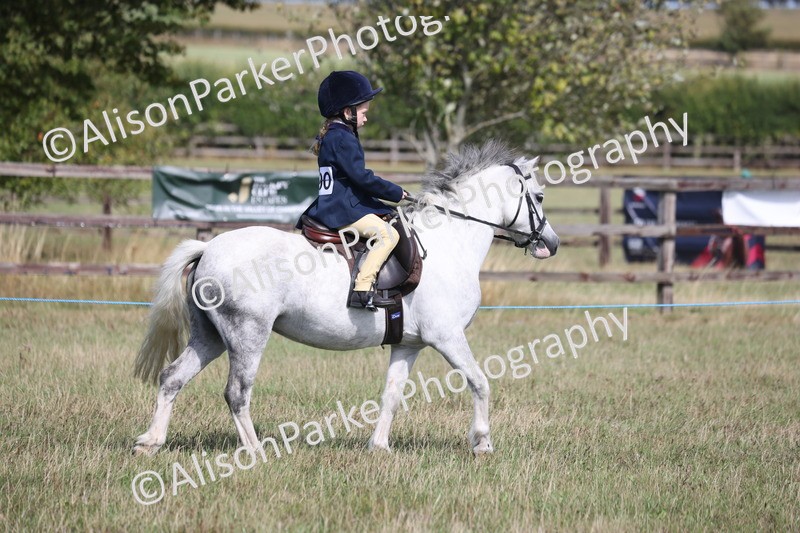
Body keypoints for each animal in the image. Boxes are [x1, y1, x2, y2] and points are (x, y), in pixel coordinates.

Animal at [132, 140, 560, 456]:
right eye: (539, 196)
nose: (551, 245)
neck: (449, 242)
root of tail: (208, 247)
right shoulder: (447, 336)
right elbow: (479, 381)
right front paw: (482, 443)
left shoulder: (410, 344)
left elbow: (392, 394)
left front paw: (379, 447)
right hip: (246, 334)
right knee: (237, 393)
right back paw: (255, 452)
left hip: (210, 335)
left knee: (172, 378)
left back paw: (150, 443)